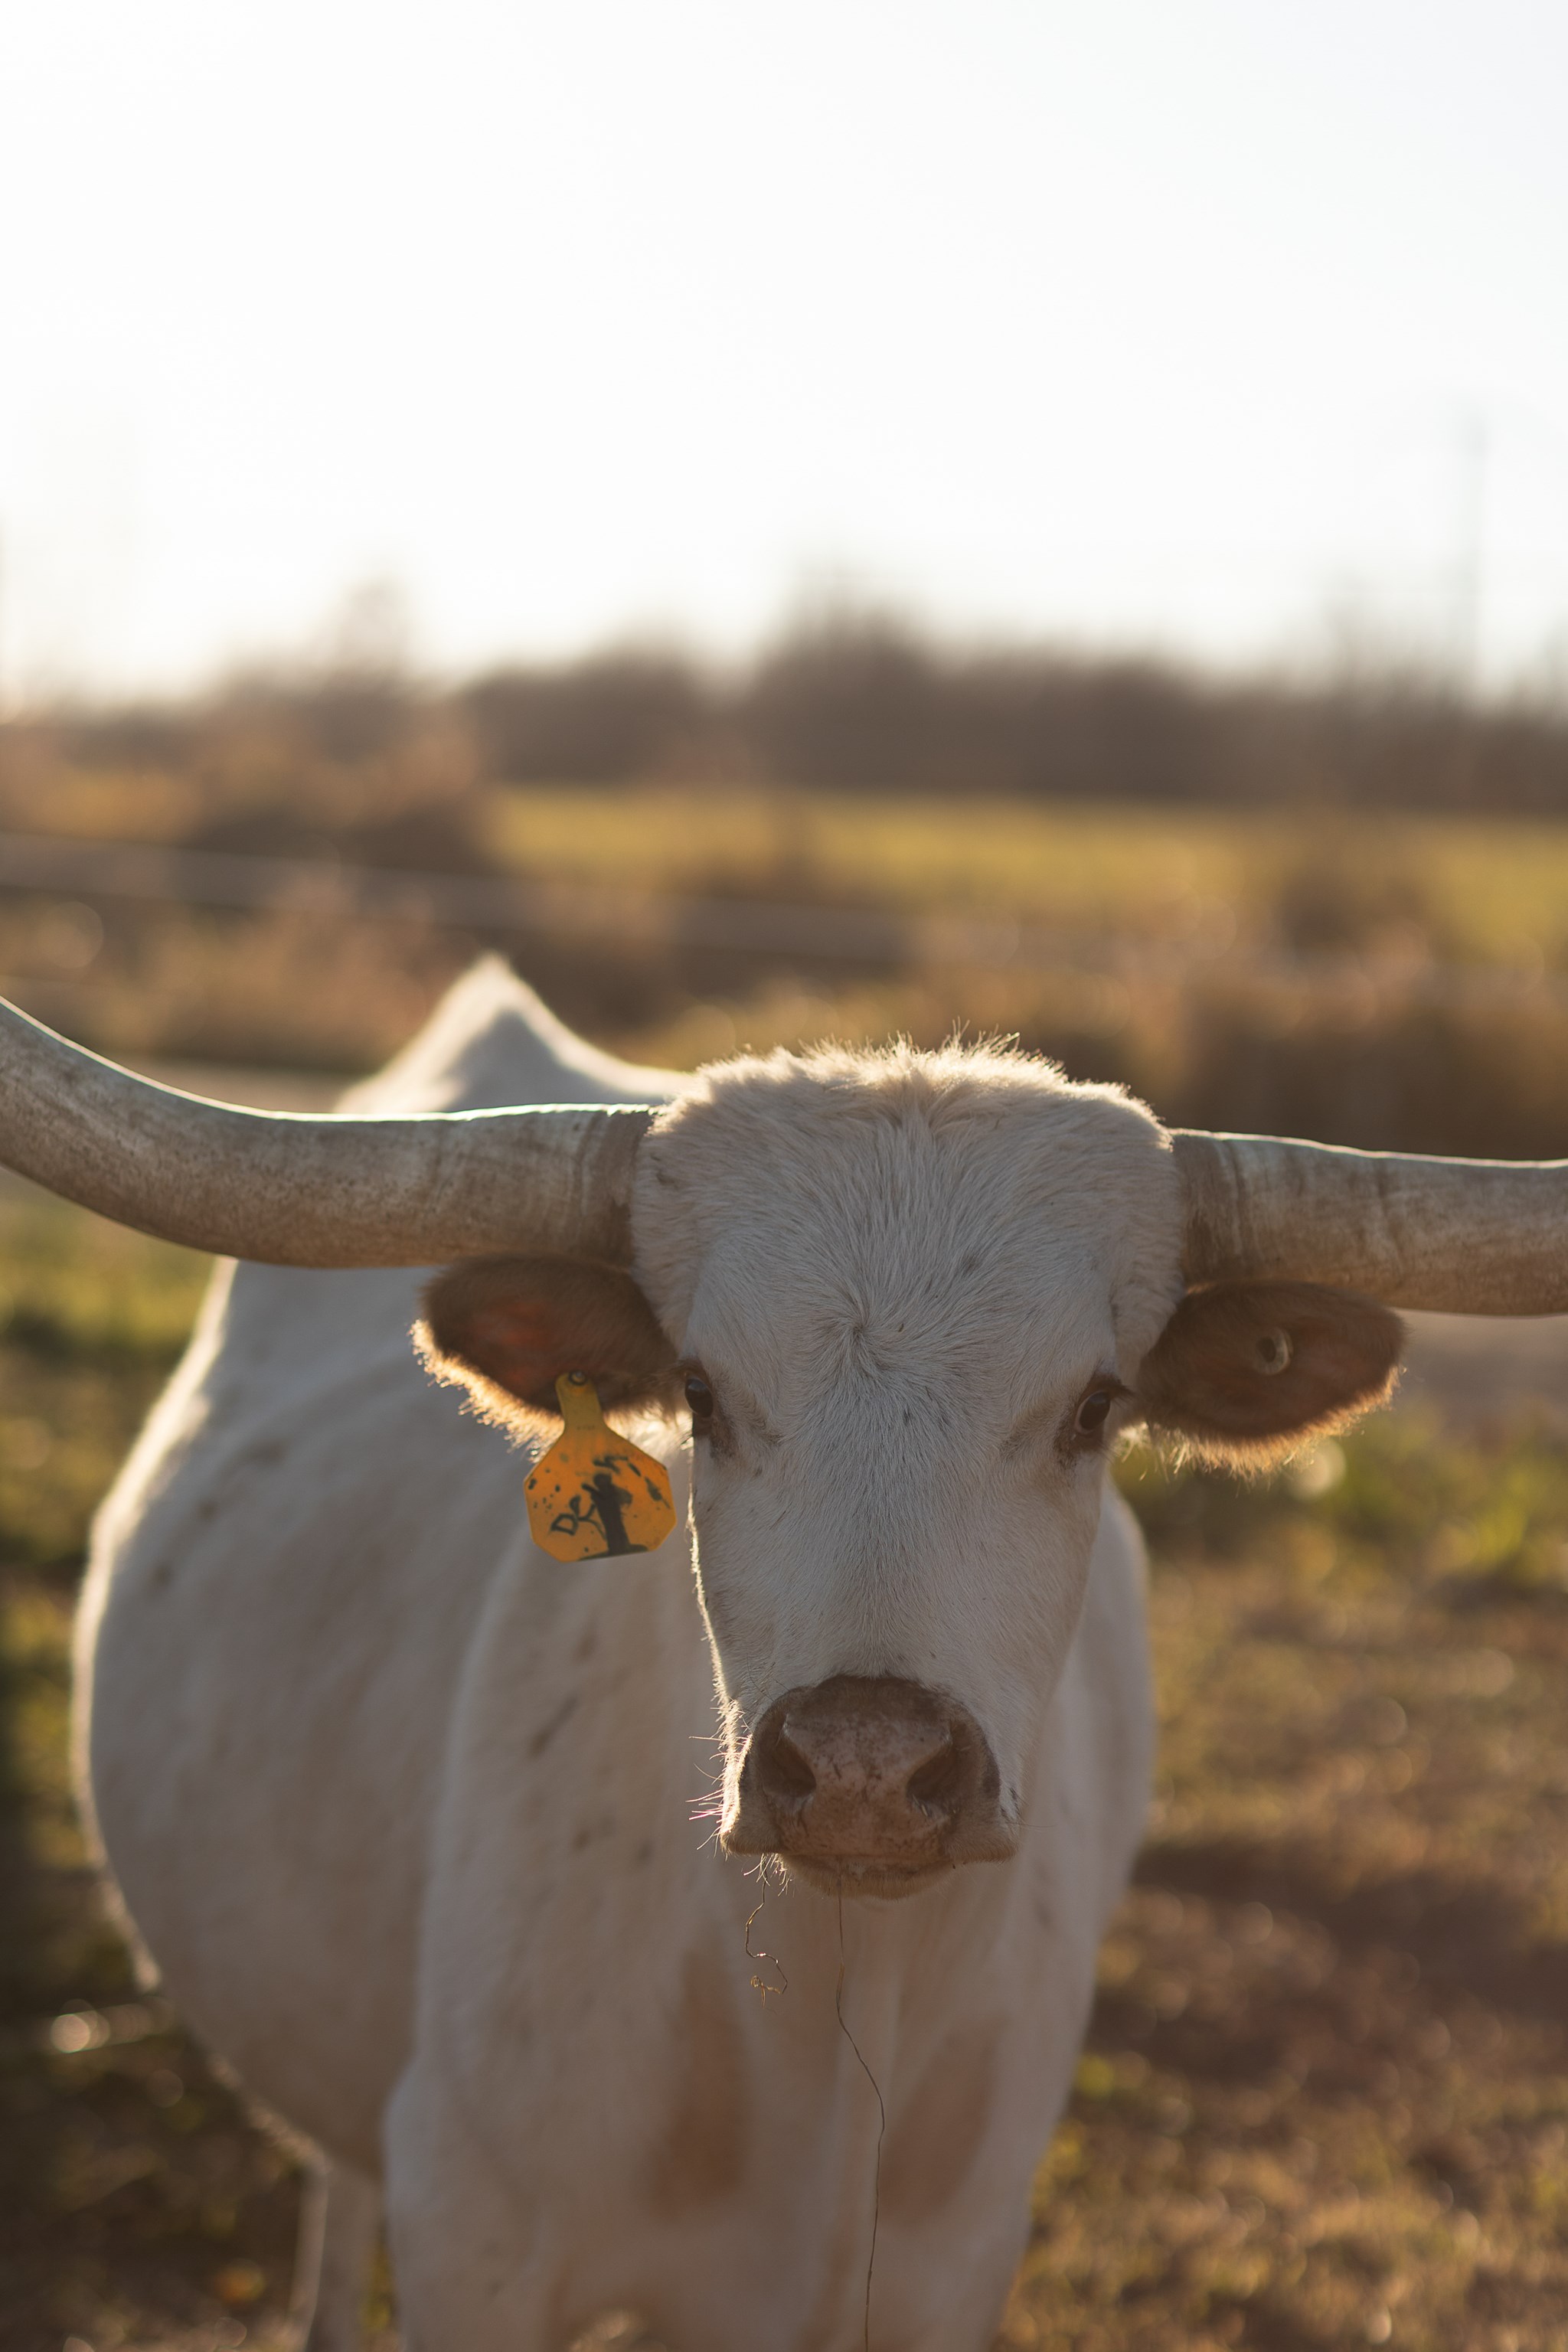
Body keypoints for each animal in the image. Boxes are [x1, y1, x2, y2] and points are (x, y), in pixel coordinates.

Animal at [0, 959, 1561, 2352]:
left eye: (1093, 1405)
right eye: (699, 1391)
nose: (868, 1764)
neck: (822, 2034)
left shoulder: (949, 2270)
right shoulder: (471, 2235)